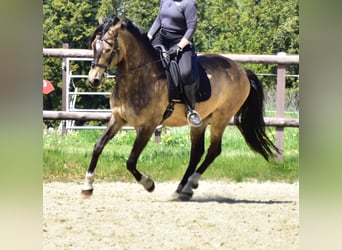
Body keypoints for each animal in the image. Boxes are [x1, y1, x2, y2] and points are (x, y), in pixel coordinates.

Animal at [81, 15, 280, 200]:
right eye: (93, 47)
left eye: (108, 49)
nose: (94, 80)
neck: (141, 76)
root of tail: (241, 70)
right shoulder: (117, 119)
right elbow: (98, 146)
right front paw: (87, 186)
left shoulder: (148, 126)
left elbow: (130, 161)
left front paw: (149, 184)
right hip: (201, 121)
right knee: (197, 152)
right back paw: (183, 189)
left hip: (221, 118)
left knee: (213, 150)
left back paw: (189, 184)